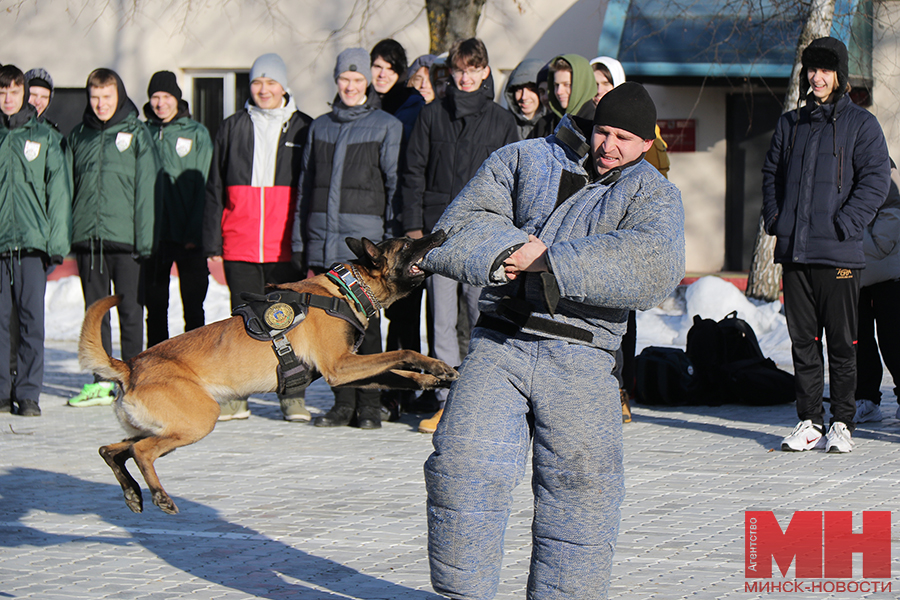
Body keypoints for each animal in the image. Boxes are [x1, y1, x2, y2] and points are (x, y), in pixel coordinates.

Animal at [79, 232, 458, 512]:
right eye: (407, 244)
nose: (441, 231)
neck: (347, 288)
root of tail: (129, 367)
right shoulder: (339, 367)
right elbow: (401, 353)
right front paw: (434, 365)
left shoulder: (351, 370)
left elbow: (395, 374)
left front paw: (431, 377)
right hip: (197, 420)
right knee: (141, 452)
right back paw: (159, 496)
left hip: (163, 427)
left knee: (111, 449)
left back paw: (132, 492)